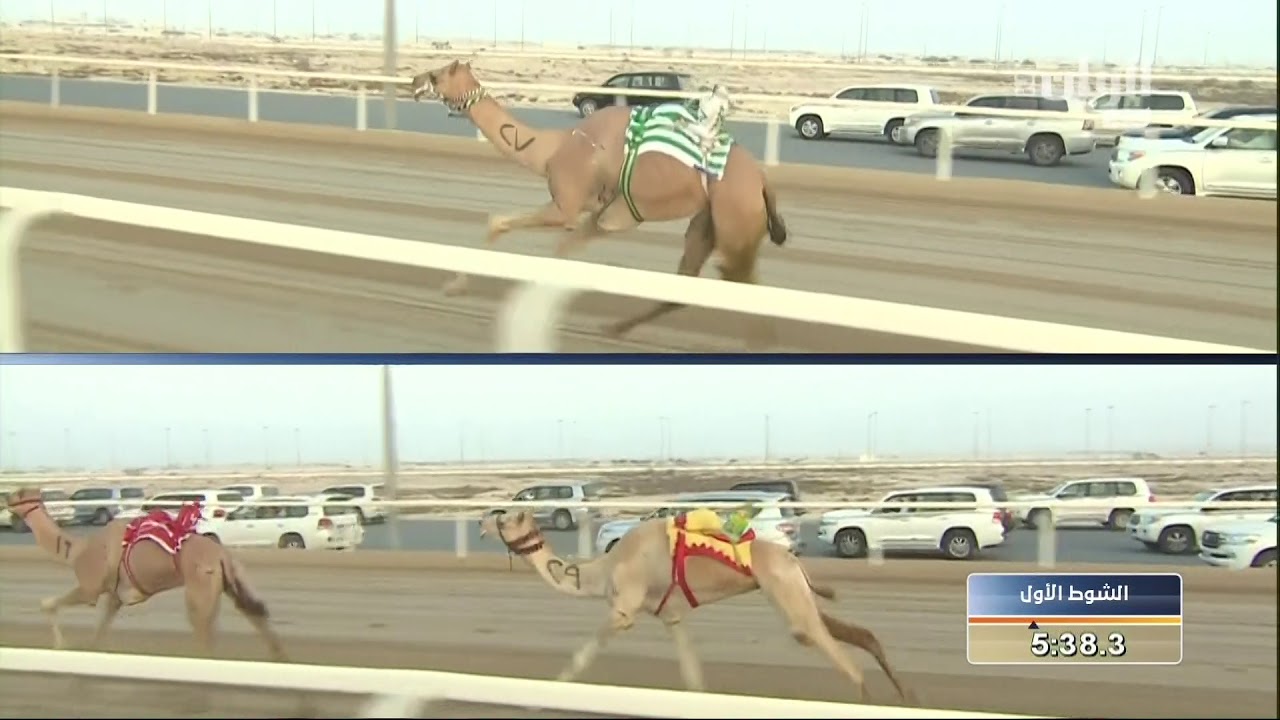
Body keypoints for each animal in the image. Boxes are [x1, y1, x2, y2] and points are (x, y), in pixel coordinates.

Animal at [2, 487, 288, 662]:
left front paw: (61, 646)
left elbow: (48, 604)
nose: (6, 500)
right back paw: (278, 658)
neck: (76, 549)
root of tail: (220, 555)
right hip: (231, 579)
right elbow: (99, 632)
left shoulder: (90, 587)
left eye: (19, 494)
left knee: (204, 628)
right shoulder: (115, 596)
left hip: (200, 585)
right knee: (254, 612)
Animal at [409, 61, 789, 343]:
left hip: (736, 224)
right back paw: (614, 328)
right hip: (709, 222)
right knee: (689, 283)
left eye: (437, 75)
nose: (414, 80)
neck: (552, 149)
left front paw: (455, 286)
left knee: (745, 285)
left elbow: (499, 222)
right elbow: (561, 252)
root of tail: (762, 181)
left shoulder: (566, 206)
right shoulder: (604, 215)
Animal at [479, 510, 914, 704]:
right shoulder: (671, 616)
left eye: (508, 518)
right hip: (797, 593)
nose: (484, 521)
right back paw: (907, 697)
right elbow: (692, 675)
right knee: (861, 635)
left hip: (786, 594)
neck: (603, 569)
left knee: (842, 659)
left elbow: (580, 658)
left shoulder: (623, 611)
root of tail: (793, 559)